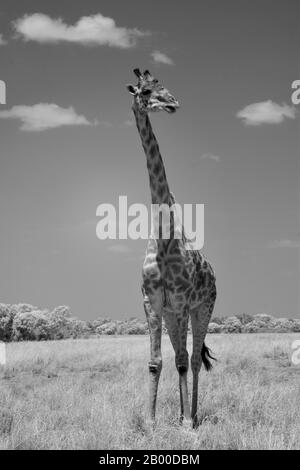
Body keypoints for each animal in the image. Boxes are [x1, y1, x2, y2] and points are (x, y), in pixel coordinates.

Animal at [126, 69, 216, 426]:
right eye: (145, 91)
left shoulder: (181, 302)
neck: (164, 238)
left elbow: (182, 359)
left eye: (163, 85)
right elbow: (155, 362)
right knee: (180, 357)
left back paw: (190, 417)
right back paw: (180, 415)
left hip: (202, 307)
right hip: (173, 313)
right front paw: (150, 422)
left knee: (191, 359)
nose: (173, 103)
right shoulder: (152, 302)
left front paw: (188, 425)